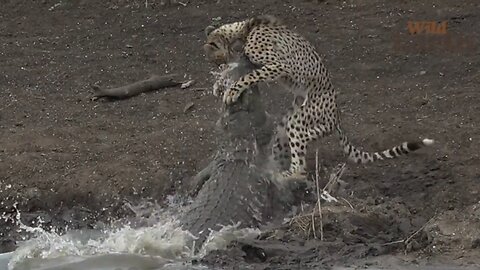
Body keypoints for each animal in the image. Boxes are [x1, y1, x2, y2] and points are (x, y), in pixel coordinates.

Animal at [202, 14, 436, 179]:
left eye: (216, 59)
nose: (218, 65)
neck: (244, 30)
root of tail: (337, 116)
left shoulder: (278, 65)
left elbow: (249, 76)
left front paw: (231, 91)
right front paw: (219, 85)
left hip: (300, 120)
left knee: (300, 161)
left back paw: (286, 173)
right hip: (293, 121)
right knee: (290, 139)